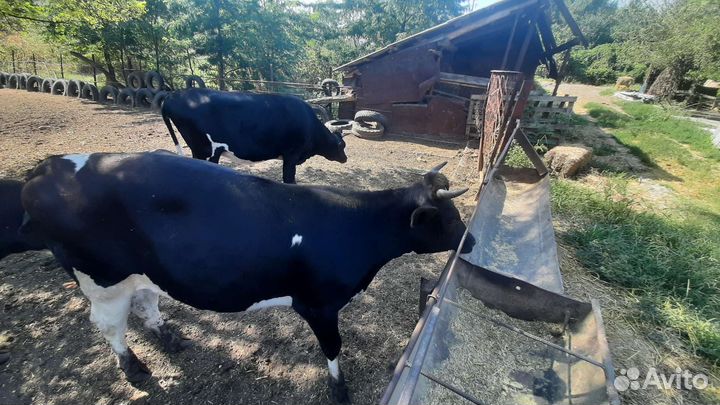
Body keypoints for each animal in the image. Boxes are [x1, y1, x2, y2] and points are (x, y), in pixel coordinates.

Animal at [20, 152, 473, 403]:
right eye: (450, 218)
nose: (469, 242)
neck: (352, 227)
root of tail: (46, 167)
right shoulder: (318, 303)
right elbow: (333, 348)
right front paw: (339, 389)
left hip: (141, 270)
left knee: (146, 300)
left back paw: (169, 337)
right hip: (102, 278)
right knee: (109, 323)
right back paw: (132, 368)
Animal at [161, 88, 347, 183]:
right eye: (342, 145)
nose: (345, 158)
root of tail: (172, 95)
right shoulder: (291, 155)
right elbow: (289, 179)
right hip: (206, 151)